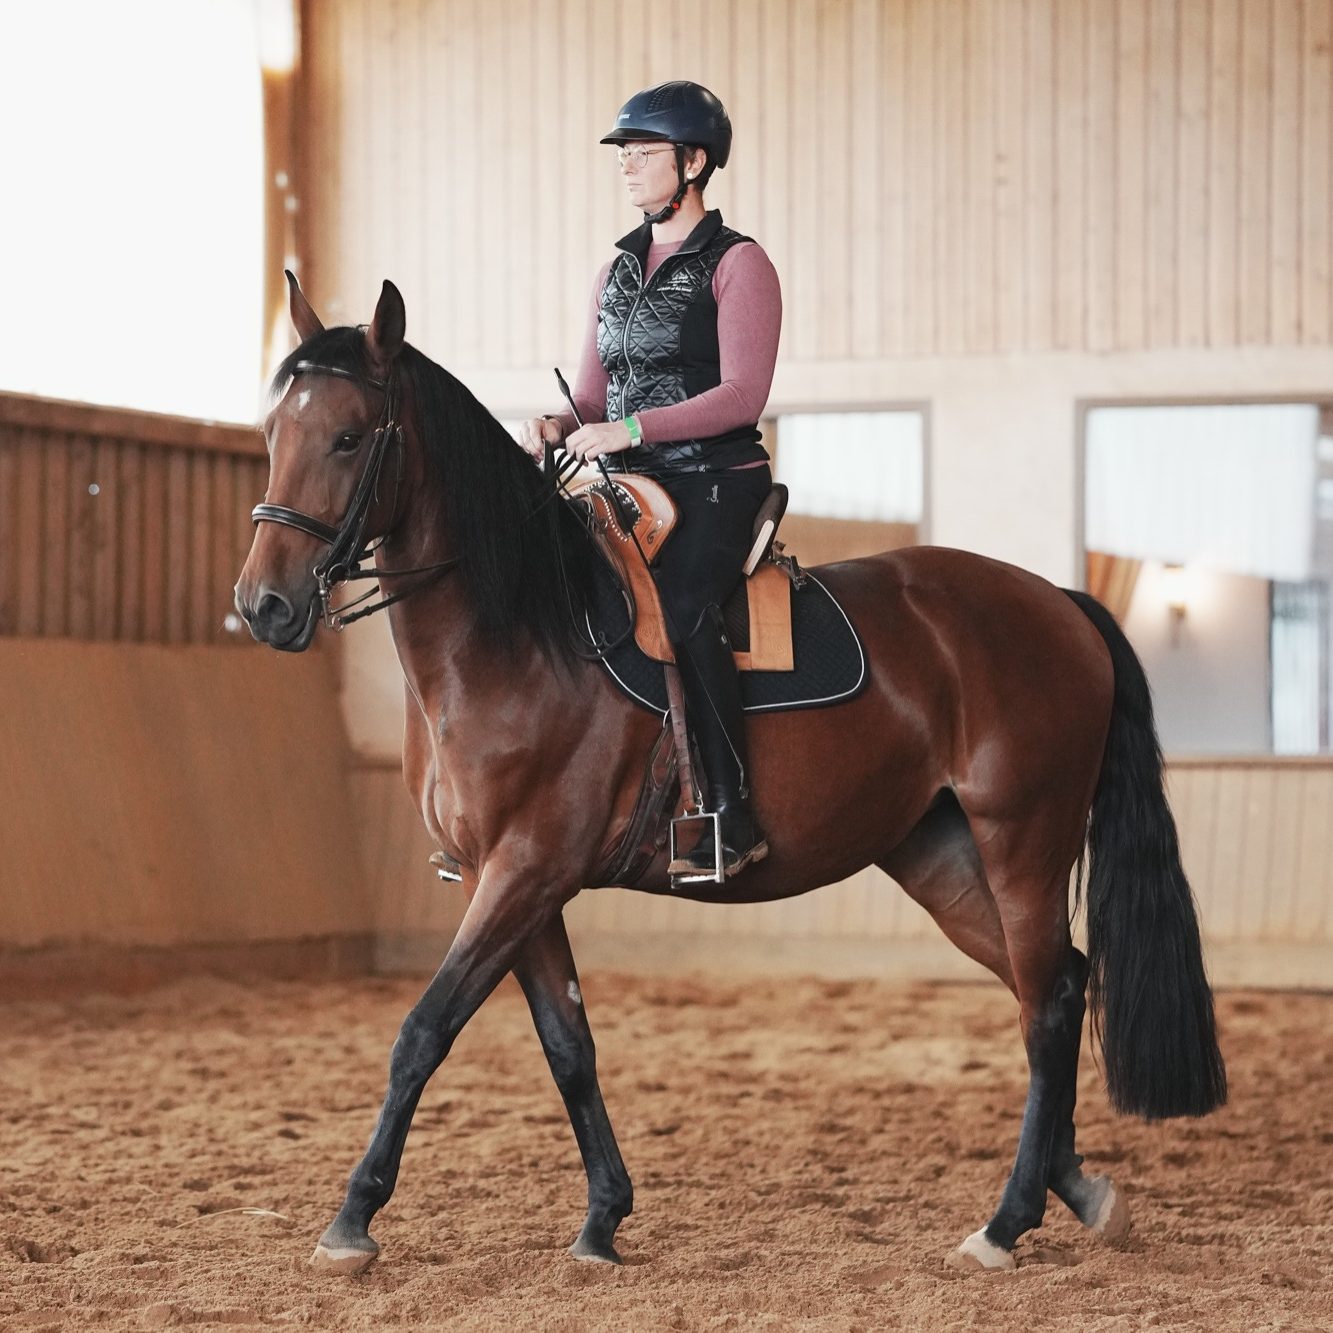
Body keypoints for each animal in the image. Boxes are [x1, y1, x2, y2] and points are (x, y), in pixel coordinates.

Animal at [234, 273, 1226, 1276]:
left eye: (349, 437)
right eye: (273, 433)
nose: (263, 606)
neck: (521, 633)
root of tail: (1055, 601)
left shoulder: (525, 870)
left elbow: (423, 1030)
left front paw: (352, 1218)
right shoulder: (512, 880)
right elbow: (568, 1044)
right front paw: (603, 1217)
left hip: (1022, 839)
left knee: (1048, 1003)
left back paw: (1006, 1220)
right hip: (938, 855)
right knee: (1050, 982)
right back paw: (1076, 1189)